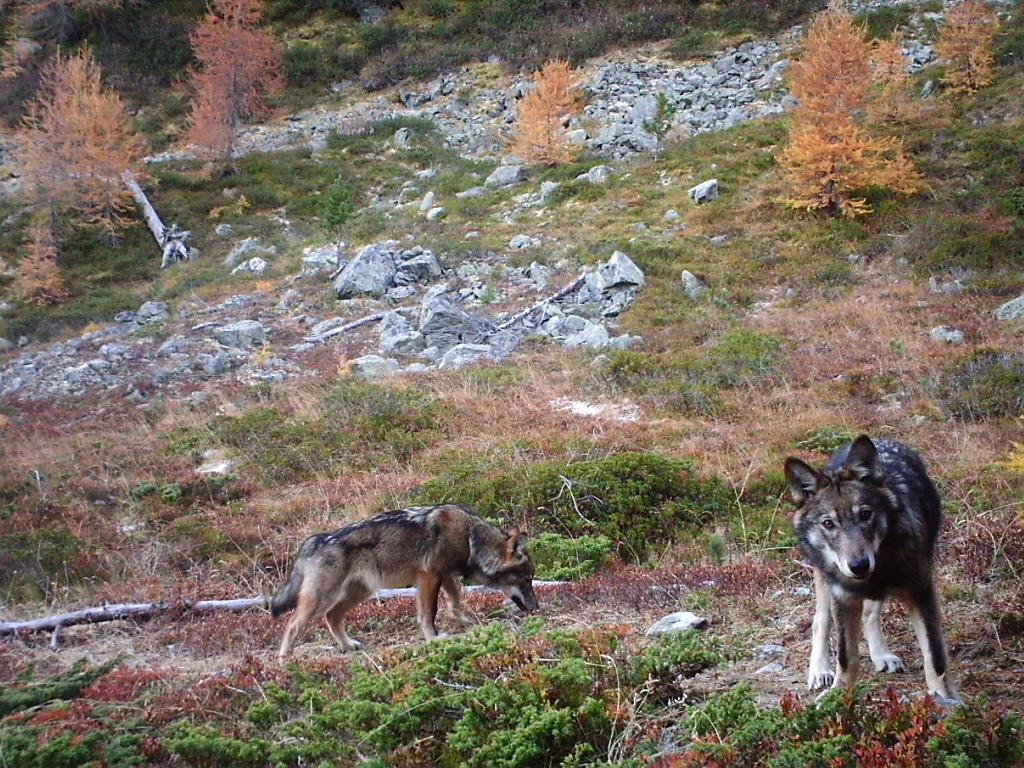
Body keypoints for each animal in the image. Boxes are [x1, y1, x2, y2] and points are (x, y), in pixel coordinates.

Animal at [268, 505, 540, 663]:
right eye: (526, 579)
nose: (536, 608)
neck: (470, 537)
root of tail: (313, 541)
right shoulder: (429, 576)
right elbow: (429, 612)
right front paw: (434, 640)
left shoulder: (445, 575)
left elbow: (455, 601)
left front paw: (464, 622)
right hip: (323, 599)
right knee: (292, 624)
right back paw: (284, 661)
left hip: (359, 593)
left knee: (332, 618)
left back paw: (348, 646)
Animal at [782, 436, 958, 708]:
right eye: (828, 523)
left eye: (865, 514)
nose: (859, 565)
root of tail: (881, 439)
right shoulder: (843, 598)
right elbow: (846, 658)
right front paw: (838, 695)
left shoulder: (922, 594)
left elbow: (934, 656)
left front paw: (942, 697)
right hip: (824, 579)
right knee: (820, 621)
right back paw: (820, 670)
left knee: (869, 614)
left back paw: (882, 655)